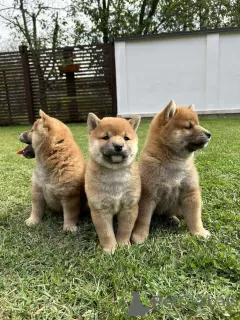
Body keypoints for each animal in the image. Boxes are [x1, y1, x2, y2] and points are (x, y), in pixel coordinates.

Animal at [85, 114, 141, 254]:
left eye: (126, 138)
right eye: (106, 137)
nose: (118, 146)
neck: (115, 173)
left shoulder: (129, 207)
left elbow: (125, 229)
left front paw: (123, 245)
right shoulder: (100, 209)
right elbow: (106, 233)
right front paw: (109, 248)